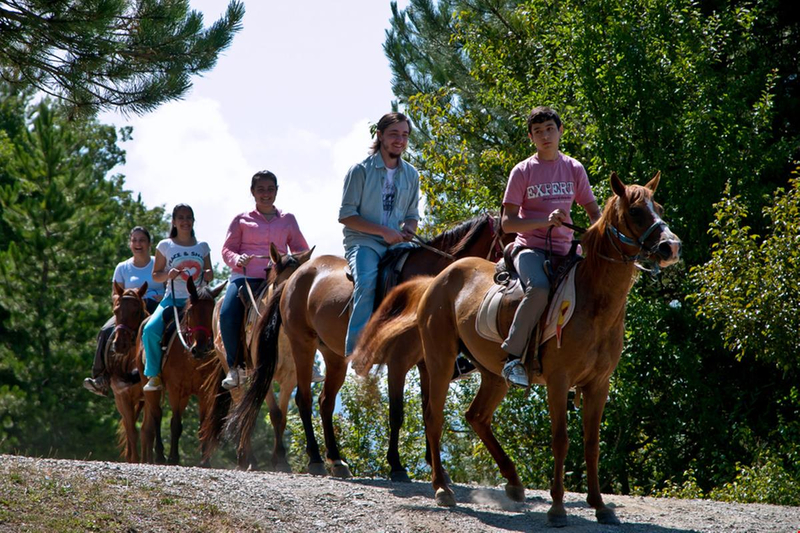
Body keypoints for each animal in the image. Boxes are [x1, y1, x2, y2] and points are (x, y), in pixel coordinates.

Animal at [141, 276, 225, 464]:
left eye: (212, 312)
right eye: (191, 312)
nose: (199, 349)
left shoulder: (205, 392)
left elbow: (203, 426)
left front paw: (205, 462)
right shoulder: (175, 390)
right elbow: (175, 424)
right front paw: (173, 458)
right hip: (152, 389)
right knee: (157, 415)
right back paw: (159, 456)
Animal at [198, 243, 314, 468]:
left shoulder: (290, 378)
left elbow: (282, 416)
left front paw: (280, 459)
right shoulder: (263, 374)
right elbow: (274, 413)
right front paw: (278, 459)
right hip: (232, 369)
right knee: (239, 405)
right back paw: (246, 458)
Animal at [228, 214, 510, 476]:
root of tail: (294, 278)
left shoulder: (427, 363)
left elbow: (429, 408)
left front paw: (433, 465)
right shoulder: (398, 362)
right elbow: (397, 412)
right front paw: (396, 465)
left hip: (334, 357)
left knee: (325, 402)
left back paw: (336, 459)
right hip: (302, 345)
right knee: (304, 399)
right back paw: (316, 459)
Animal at [412, 172, 680, 524]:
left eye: (658, 208)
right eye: (636, 211)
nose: (671, 246)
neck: (593, 300)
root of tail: (441, 276)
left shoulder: (599, 385)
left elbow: (591, 444)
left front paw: (600, 505)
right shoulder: (558, 381)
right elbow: (561, 440)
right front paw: (557, 508)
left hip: (493, 375)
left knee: (477, 416)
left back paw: (513, 483)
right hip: (440, 361)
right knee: (434, 417)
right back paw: (443, 488)